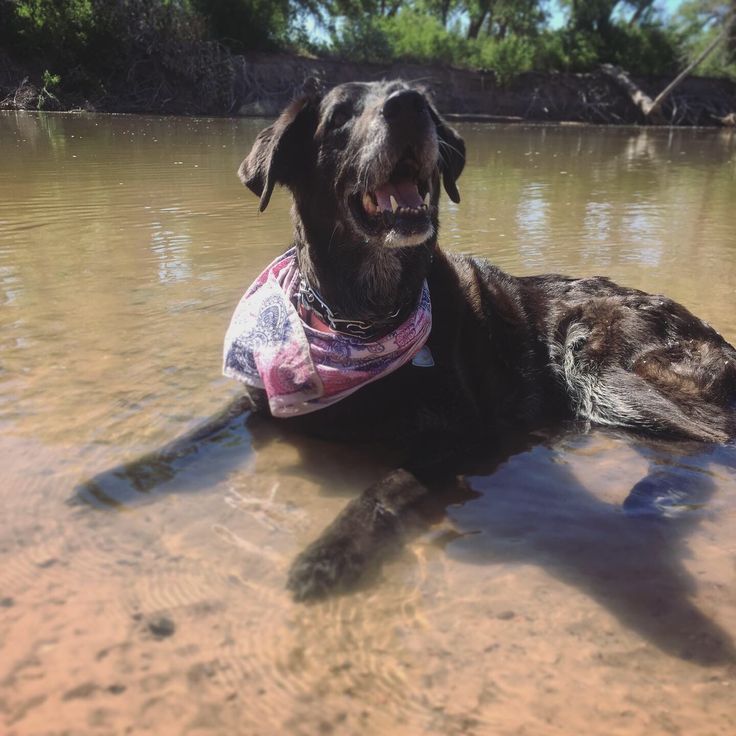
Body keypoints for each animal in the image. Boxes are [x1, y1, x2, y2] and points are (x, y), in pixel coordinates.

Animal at [79, 79, 736, 604]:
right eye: (340, 116)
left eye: (415, 95)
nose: (411, 104)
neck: (355, 317)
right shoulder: (257, 395)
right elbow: (192, 435)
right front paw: (120, 477)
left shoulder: (466, 434)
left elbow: (383, 489)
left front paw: (328, 556)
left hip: (599, 368)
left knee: (706, 438)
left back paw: (655, 497)